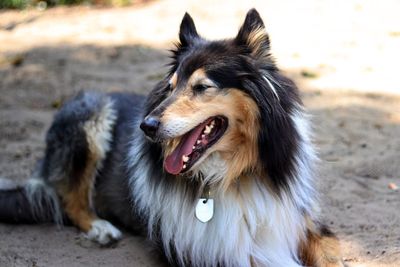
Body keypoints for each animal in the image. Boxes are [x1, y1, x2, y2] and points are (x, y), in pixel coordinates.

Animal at [0, 8, 344, 267]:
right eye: (171, 86)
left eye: (201, 87)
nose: (146, 126)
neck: (233, 177)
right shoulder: (207, 250)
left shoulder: (298, 223)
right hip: (90, 117)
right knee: (69, 201)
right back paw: (101, 228)